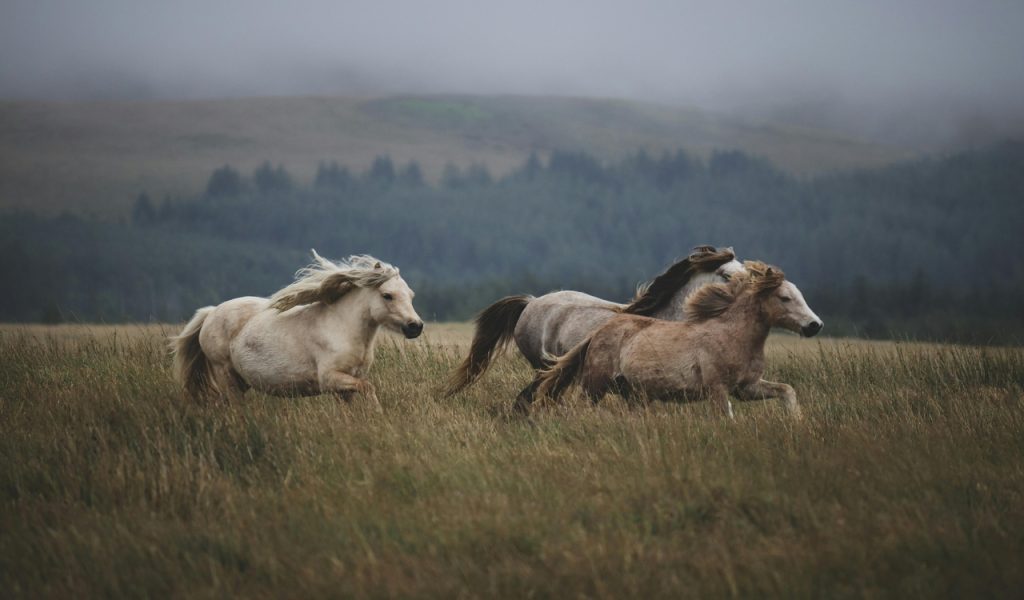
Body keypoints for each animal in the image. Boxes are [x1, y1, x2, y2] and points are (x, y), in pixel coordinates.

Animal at [171, 252, 424, 407]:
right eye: (387, 295)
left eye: (411, 295)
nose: (415, 326)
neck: (343, 328)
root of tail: (211, 312)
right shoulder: (330, 379)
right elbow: (369, 388)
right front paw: (378, 412)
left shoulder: (346, 386)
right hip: (225, 374)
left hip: (238, 382)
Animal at [536, 261, 822, 418]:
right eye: (784, 298)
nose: (815, 325)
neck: (733, 336)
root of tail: (597, 332)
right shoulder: (718, 388)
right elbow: (726, 416)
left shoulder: (747, 388)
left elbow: (787, 390)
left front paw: (796, 420)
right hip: (595, 384)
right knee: (581, 407)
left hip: (633, 394)